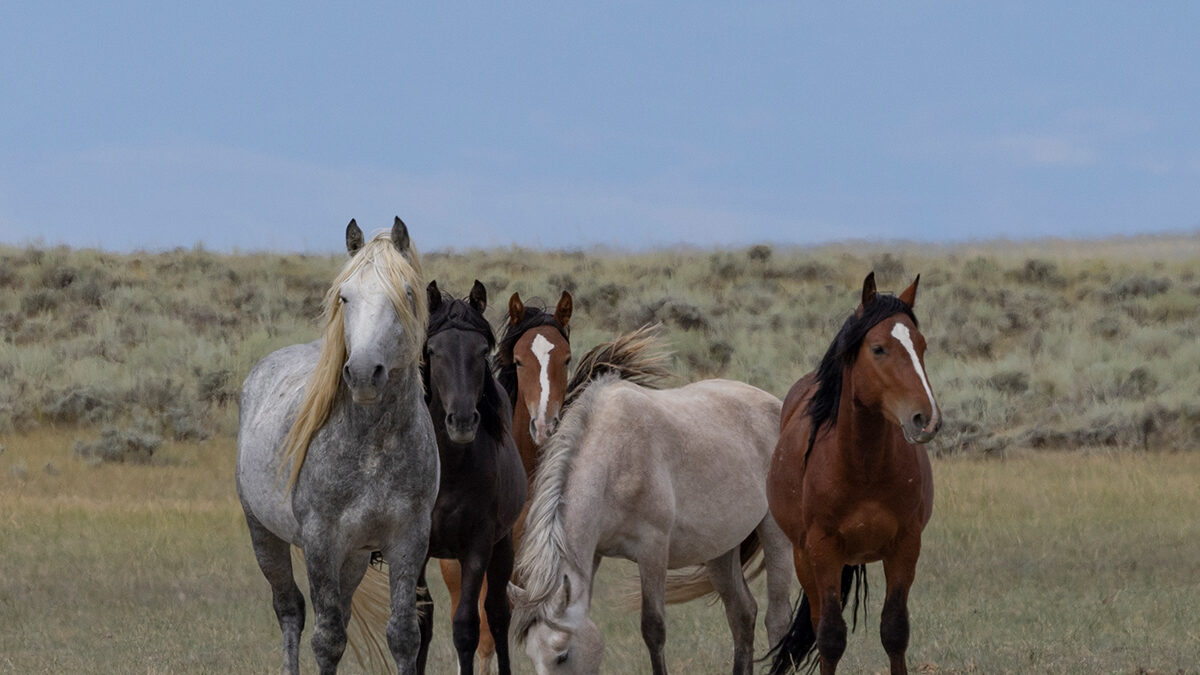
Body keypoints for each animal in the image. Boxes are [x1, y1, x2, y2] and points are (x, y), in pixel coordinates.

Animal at [236, 219, 439, 672]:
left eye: (406, 293)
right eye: (345, 296)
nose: (363, 373)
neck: (373, 449)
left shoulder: (409, 540)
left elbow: (404, 636)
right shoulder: (321, 542)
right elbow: (326, 639)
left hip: (355, 557)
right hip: (263, 535)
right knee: (290, 610)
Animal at [417, 279, 525, 672]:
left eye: (481, 351)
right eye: (433, 351)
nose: (462, 421)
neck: (448, 472)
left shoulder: (478, 545)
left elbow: (466, 626)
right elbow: (419, 620)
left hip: (501, 545)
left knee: (497, 614)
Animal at [763, 270, 940, 667]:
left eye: (921, 346)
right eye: (878, 349)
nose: (926, 418)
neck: (864, 467)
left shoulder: (906, 546)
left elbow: (895, 631)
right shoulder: (823, 550)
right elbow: (830, 636)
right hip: (804, 559)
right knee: (817, 621)